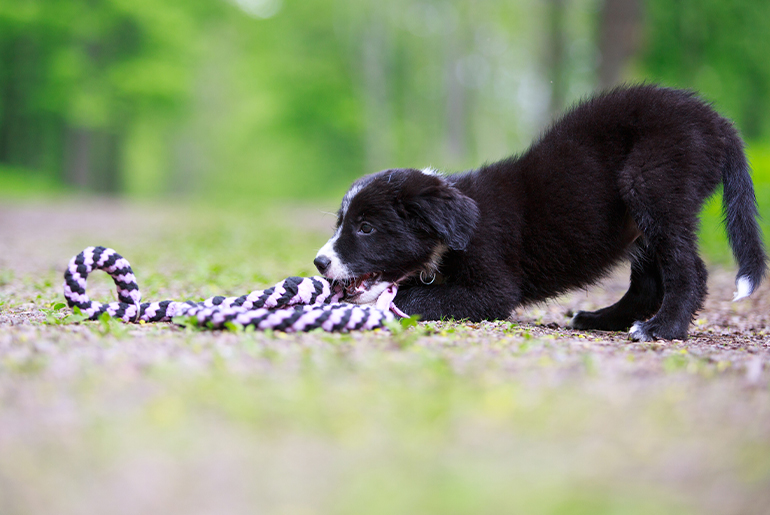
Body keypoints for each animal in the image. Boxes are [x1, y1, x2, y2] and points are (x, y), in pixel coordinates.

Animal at [312, 84, 760, 340]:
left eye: (366, 228)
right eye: (341, 223)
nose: (319, 262)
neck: (452, 232)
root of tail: (717, 124)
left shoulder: (492, 288)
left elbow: (417, 295)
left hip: (651, 184)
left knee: (688, 270)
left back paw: (661, 329)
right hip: (641, 219)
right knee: (648, 283)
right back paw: (599, 320)